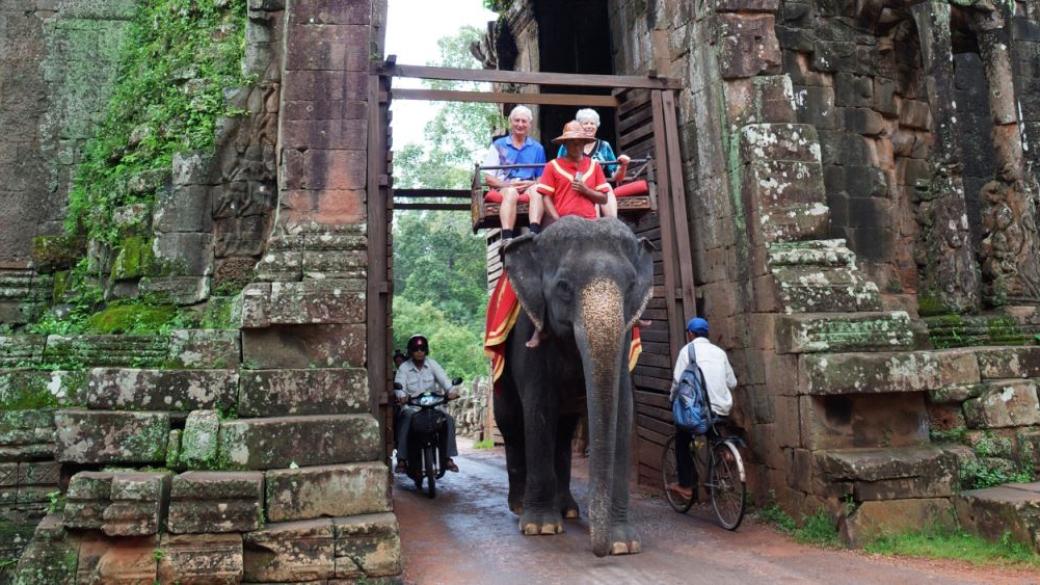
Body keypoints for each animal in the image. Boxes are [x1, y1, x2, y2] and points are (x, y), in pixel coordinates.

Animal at [492, 215, 648, 553]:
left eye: (631, 286)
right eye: (563, 286)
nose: (599, 552)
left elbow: (623, 411)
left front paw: (624, 544)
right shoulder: (529, 331)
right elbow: (538, 409)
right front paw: (541, 528)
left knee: (563, 433)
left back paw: (569, 510)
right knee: (511, 423)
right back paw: (520, 506)